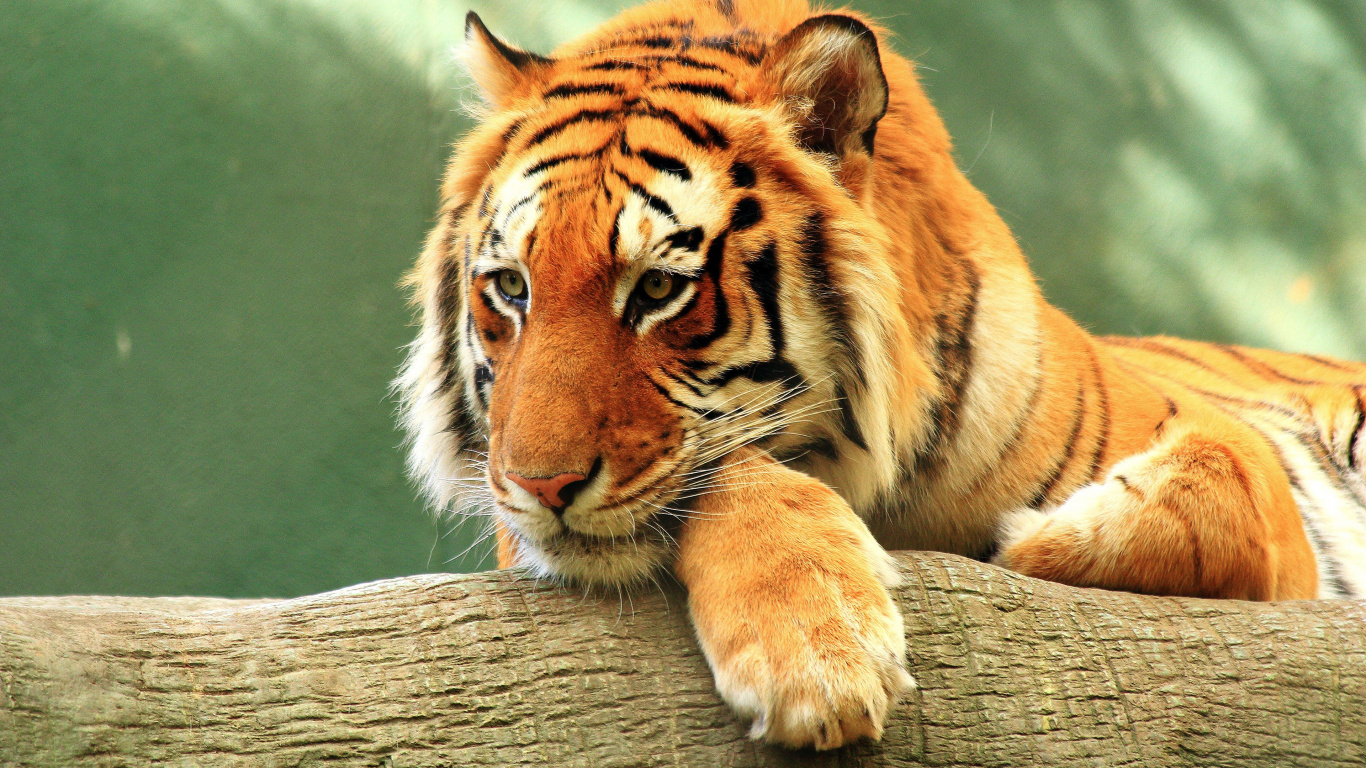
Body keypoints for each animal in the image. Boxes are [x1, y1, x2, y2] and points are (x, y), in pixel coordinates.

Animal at [395, 0, 1366, 750]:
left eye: (660, 290)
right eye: (511, 288)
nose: (536, 486)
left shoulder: (1237, 464)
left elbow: (1218, 486)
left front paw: (1031, 541)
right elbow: (734, 468)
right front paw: (815, 655)